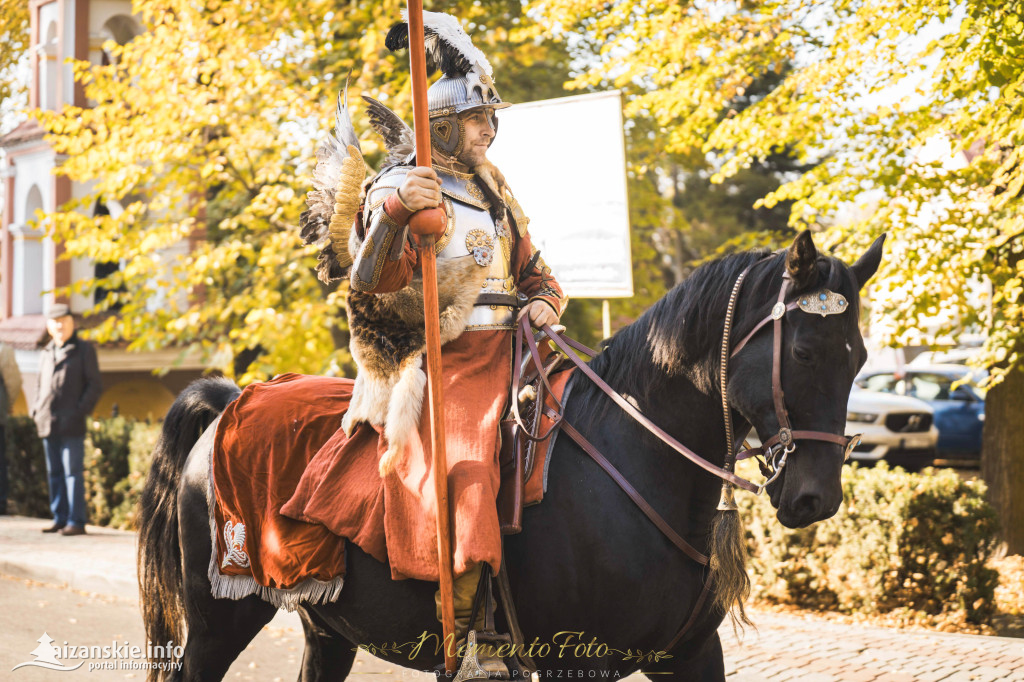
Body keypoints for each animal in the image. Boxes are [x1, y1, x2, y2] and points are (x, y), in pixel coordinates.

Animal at [138, 231, 888, 675]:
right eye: (804, 351)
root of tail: (229, 403)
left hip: (326, 627)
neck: (634, 462)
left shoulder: (690, 655)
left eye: (859, 358)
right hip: (220, 616)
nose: (816, 496)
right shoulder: (572, 661)